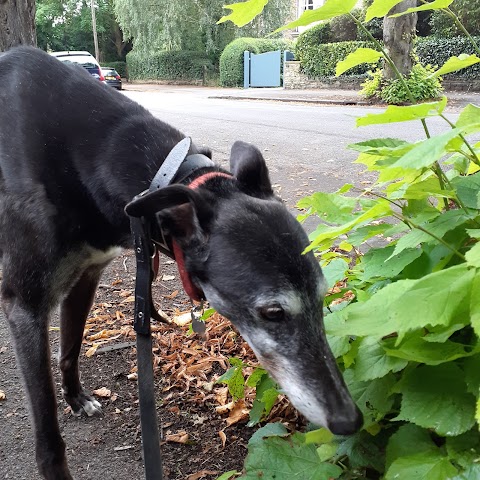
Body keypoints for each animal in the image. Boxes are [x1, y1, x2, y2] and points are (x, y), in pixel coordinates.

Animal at [0, 47, 360, 478]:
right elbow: (48, 435)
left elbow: (69, 349)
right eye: (272, 312)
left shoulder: (87, 273)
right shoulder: (25, 306)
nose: (350, 420)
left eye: (322, 296)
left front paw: (76, 399)